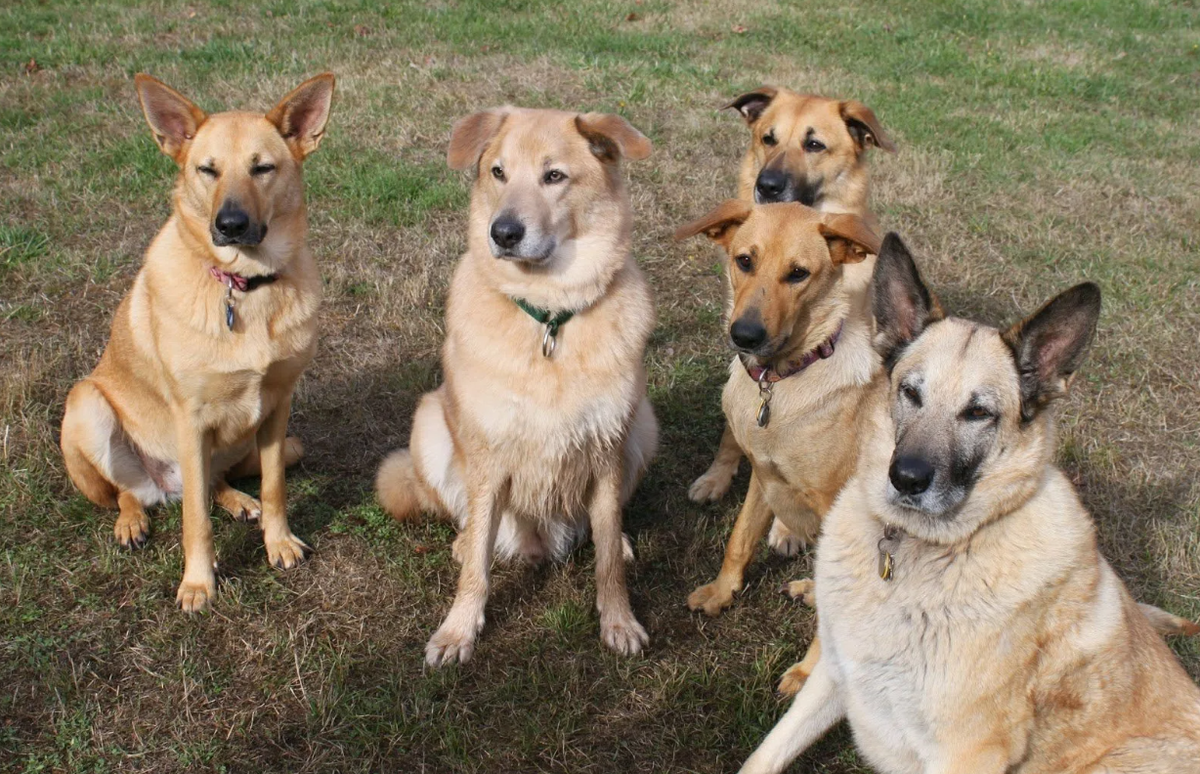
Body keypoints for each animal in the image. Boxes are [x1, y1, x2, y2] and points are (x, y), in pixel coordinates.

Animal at [59, 75, 333, 612]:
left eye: (262, 168)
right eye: (208, 170)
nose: (230, 224)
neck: (244, 286)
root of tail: (160, 488)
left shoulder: (277, 407)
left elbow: (274, 488)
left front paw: (278, 543)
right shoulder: (190, 418)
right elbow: (196, 522)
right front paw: (198, 584)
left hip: (277, 443)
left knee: (213, 483)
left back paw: (239, 500)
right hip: (86, 406)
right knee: (131, 494)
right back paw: (132, 522)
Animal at [374, 107, 657, 662]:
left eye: (555, 176)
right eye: (498, 172)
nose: (502, 232)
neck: (548, 316)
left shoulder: (607, 447)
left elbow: (607, 560)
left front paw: (618, 620)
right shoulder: (488, 456)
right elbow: (476, 571)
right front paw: (459, 631)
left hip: (644, 426)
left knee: (605, 526)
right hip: (429, 424)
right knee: (468, 525)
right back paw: (463, 542)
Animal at [739, 235, 1200, 772]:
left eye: (978, 413)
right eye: (910, 392)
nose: (906, 478)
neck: (917, 551)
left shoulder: (965, 752)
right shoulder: (838, 674)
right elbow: (764, 755)